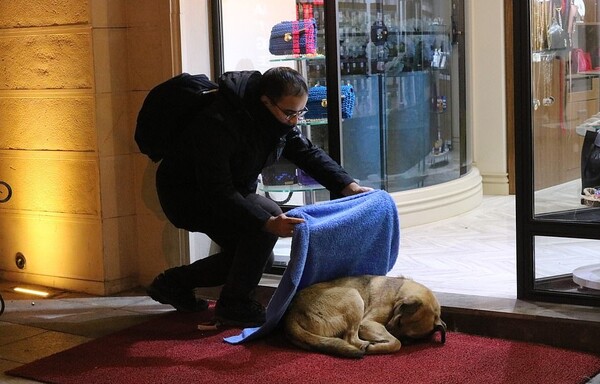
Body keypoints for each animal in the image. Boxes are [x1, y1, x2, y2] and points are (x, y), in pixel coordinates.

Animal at [282, 274, 446, 358]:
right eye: (399, 321)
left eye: (409, 339)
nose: (388, 329)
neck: (398, 293)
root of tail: (292, 313)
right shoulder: (366, 323)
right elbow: (396, 343)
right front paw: (377, 346)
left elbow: (397, 341)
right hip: (354, 297)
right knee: (350, 339)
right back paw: (365, 346)